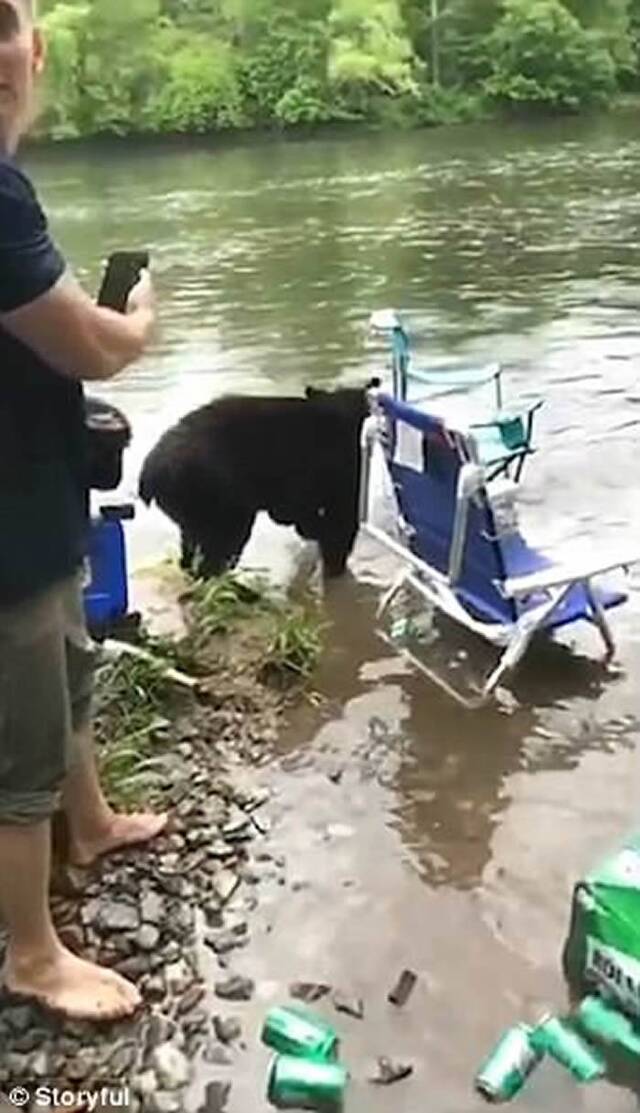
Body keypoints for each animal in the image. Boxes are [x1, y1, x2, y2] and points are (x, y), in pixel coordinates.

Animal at [138, 378, 378, 578]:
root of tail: (152, 470)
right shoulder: (335, 497)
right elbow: (332, 534)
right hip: (226, 517)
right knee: (212, 563)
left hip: (195, 521)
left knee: (190, 561)